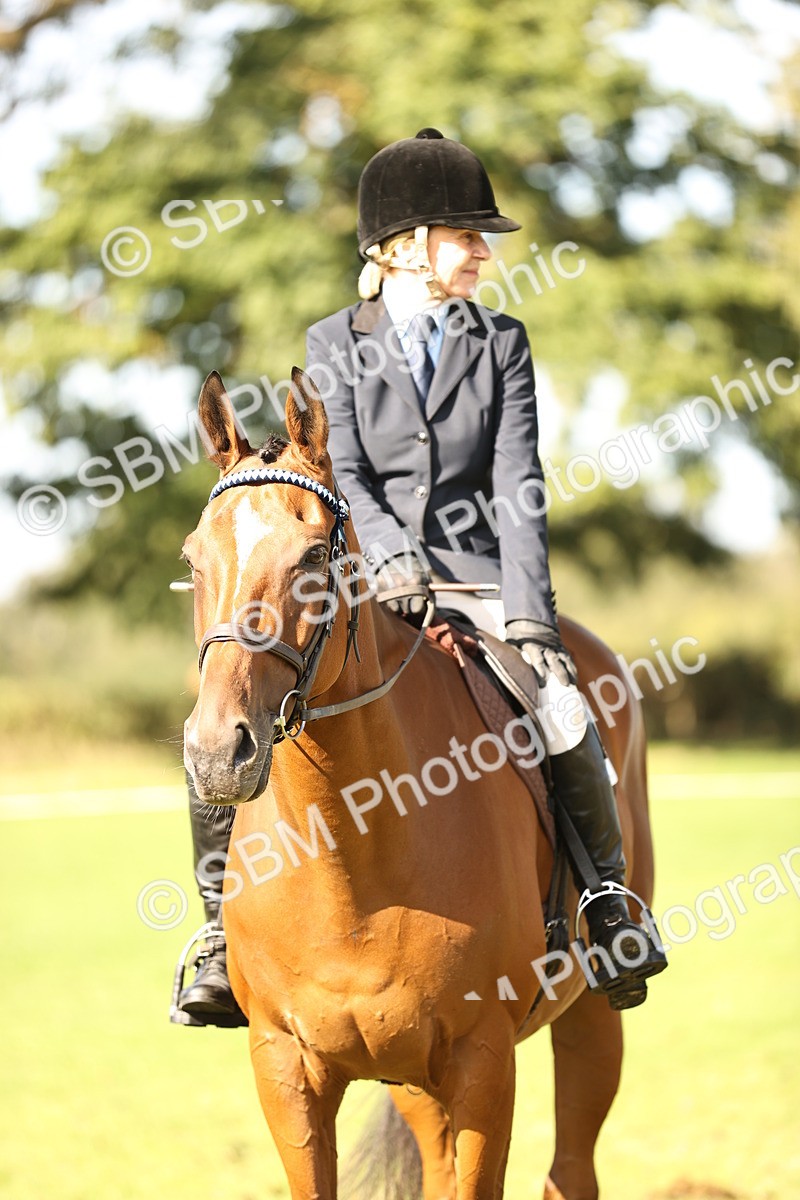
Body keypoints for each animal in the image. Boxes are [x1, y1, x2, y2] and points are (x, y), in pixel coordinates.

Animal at [181, 367, 658, 1200]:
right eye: (194, 559)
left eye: (314, 557)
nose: (215, 753)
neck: (352, 856)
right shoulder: (285, 1066)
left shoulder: (482, 1062)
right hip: (408, 1076)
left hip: (590, 1020)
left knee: (572, 1168)